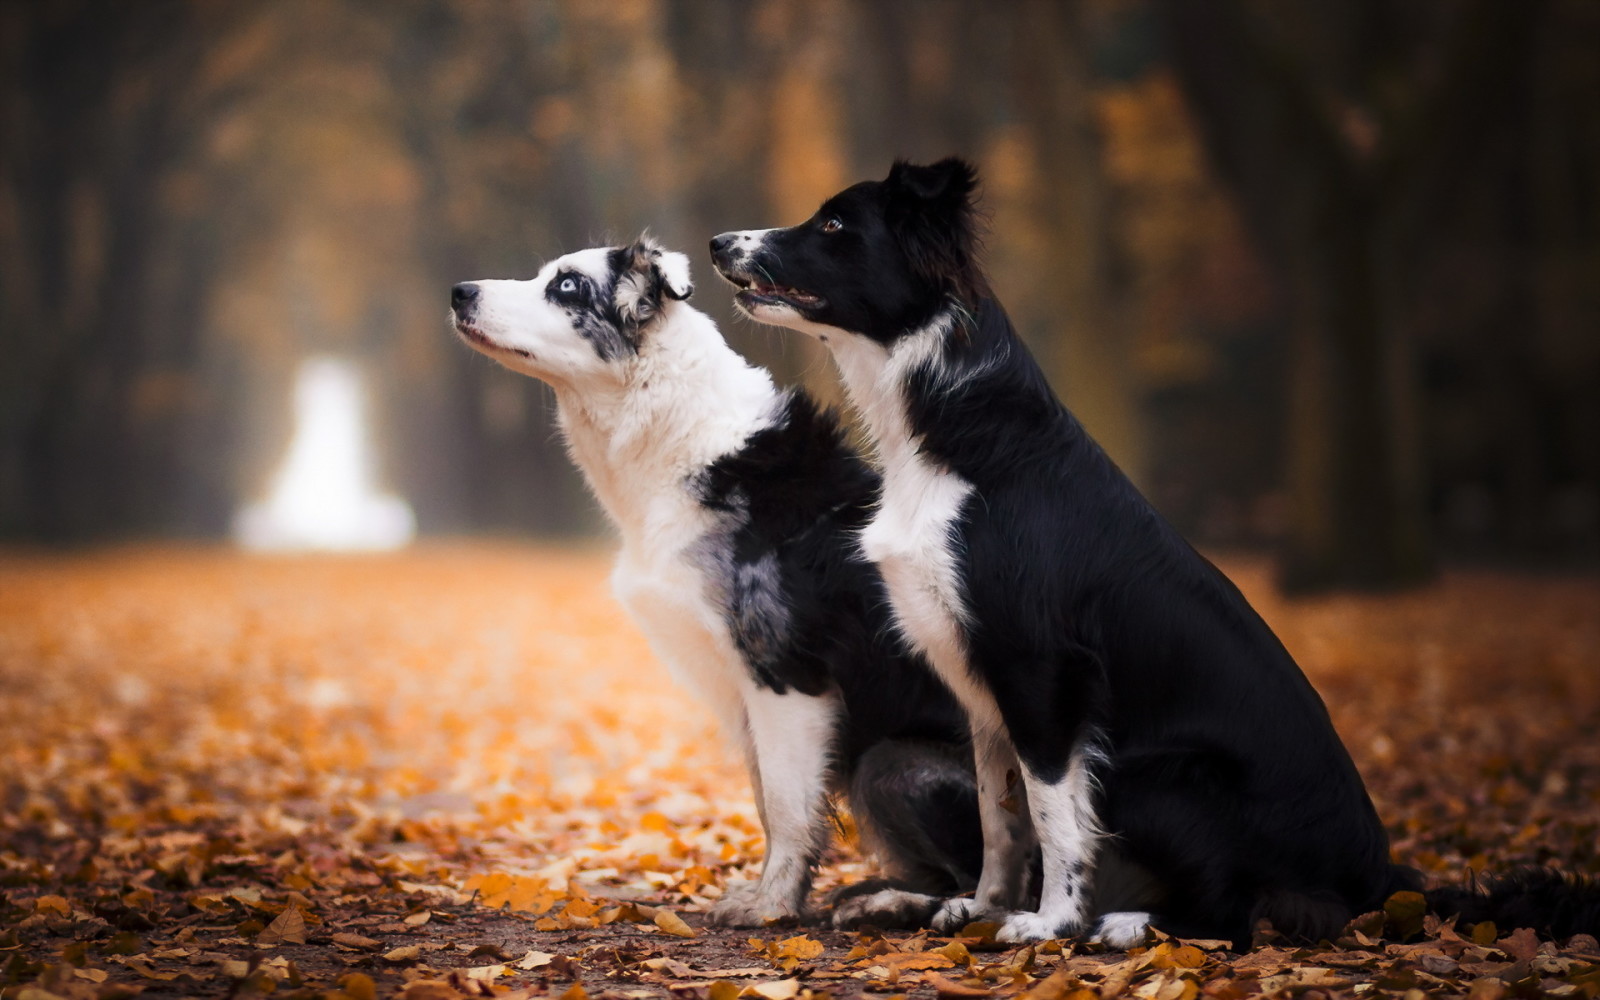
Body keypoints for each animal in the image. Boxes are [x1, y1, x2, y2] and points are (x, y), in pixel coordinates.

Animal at [444, 235, 979, 928]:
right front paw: (765, 896)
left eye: (566, 286)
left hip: (894, 763)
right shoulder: (742, 693)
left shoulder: (784, 676)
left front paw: (772, 910)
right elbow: (770, 804)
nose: (459, 292)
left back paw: (894, 902)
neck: (674, 431)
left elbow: (788, 808)